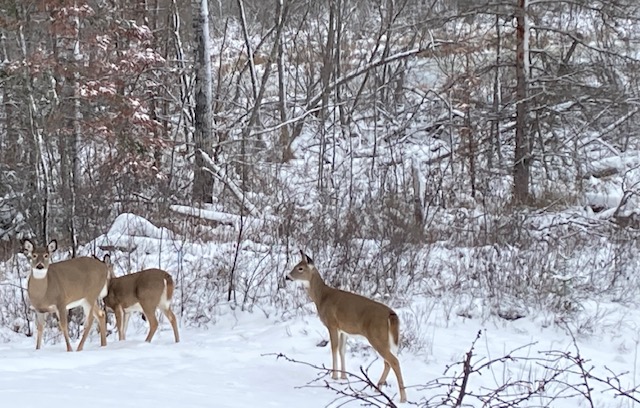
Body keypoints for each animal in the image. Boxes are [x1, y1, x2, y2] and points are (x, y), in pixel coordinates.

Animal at [286, 250, 408, 404]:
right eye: (296, 266)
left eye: (300, 268)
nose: (287, 276)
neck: (321, 297)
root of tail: (391, 315)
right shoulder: (343, 329)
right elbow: (342, 350)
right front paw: (344, 377)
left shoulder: (332, 323)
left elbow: (334, 348)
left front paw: (334, 376)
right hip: (386, 339)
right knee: (388, 362)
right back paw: (377, 389)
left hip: (376, 336)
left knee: (394, 361)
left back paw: (402, 398)